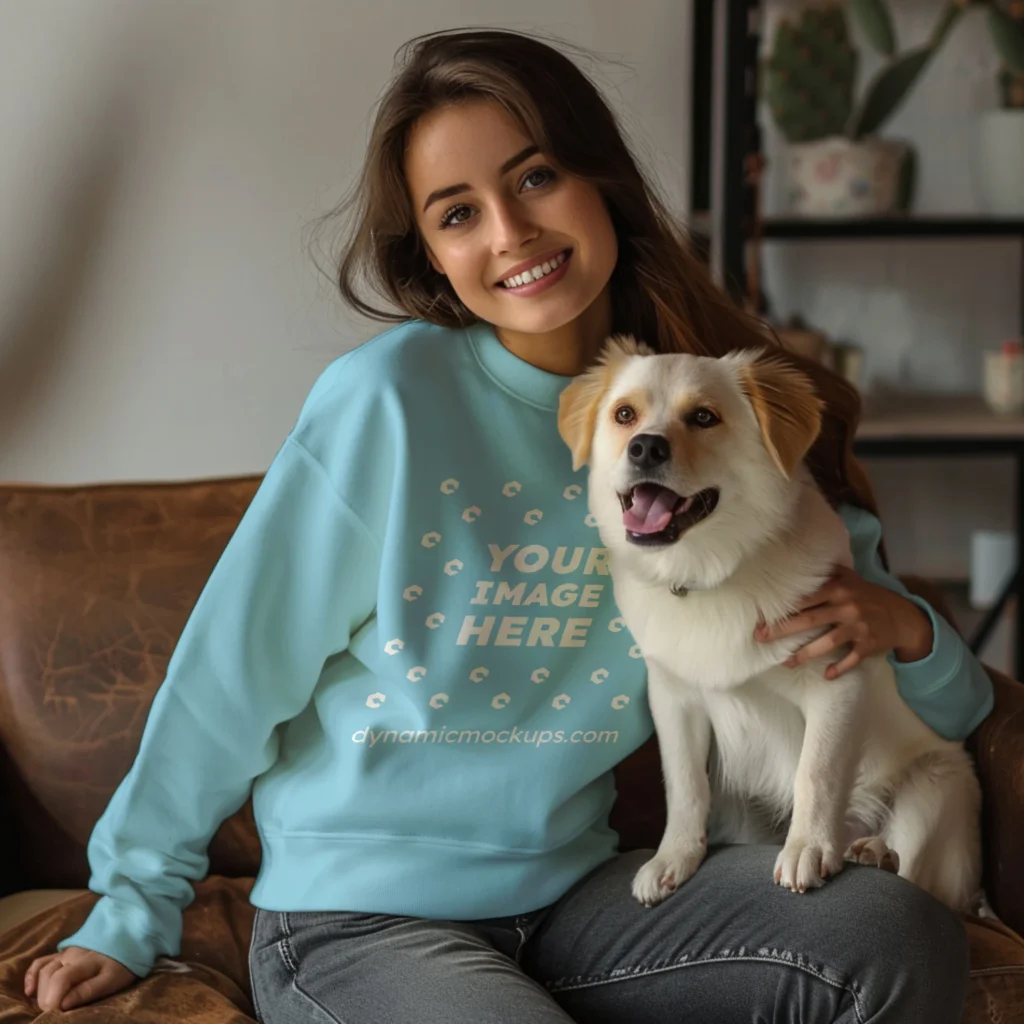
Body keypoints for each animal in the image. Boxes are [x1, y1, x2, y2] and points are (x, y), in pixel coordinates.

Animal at [561, 335, 983, 913]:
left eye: (704, 417)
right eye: (624, 414)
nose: (645, 447)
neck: (710, 574)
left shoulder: (835, 682)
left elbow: (816, 774)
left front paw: (808, 848)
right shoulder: (674, 699)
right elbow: (684, 785)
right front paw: (674, 858)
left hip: (934, 789)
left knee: (920, 875)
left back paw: (872, 852)